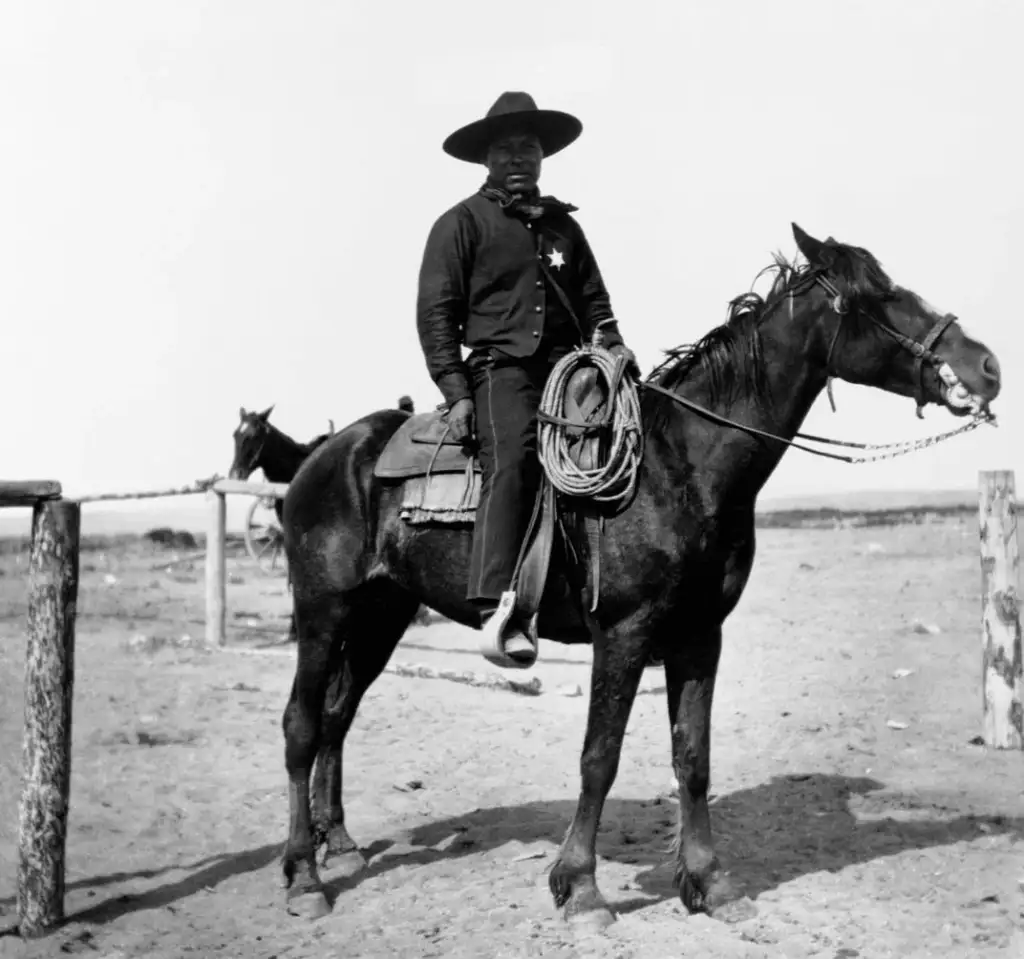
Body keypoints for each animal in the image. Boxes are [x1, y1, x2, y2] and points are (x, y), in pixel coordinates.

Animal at [272, 224, 999, 929]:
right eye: (880, 296)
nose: (987, 365)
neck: (682, 466)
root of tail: (327, 453)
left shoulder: (700, 635)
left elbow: (693, 759)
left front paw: (709, 881)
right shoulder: (623, 634)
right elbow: (600, 757)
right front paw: (580, 888)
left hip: (382, 614)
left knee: (337, 715)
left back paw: (339, 844)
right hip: (323, 612)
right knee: (302, 725)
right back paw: (304, 876)